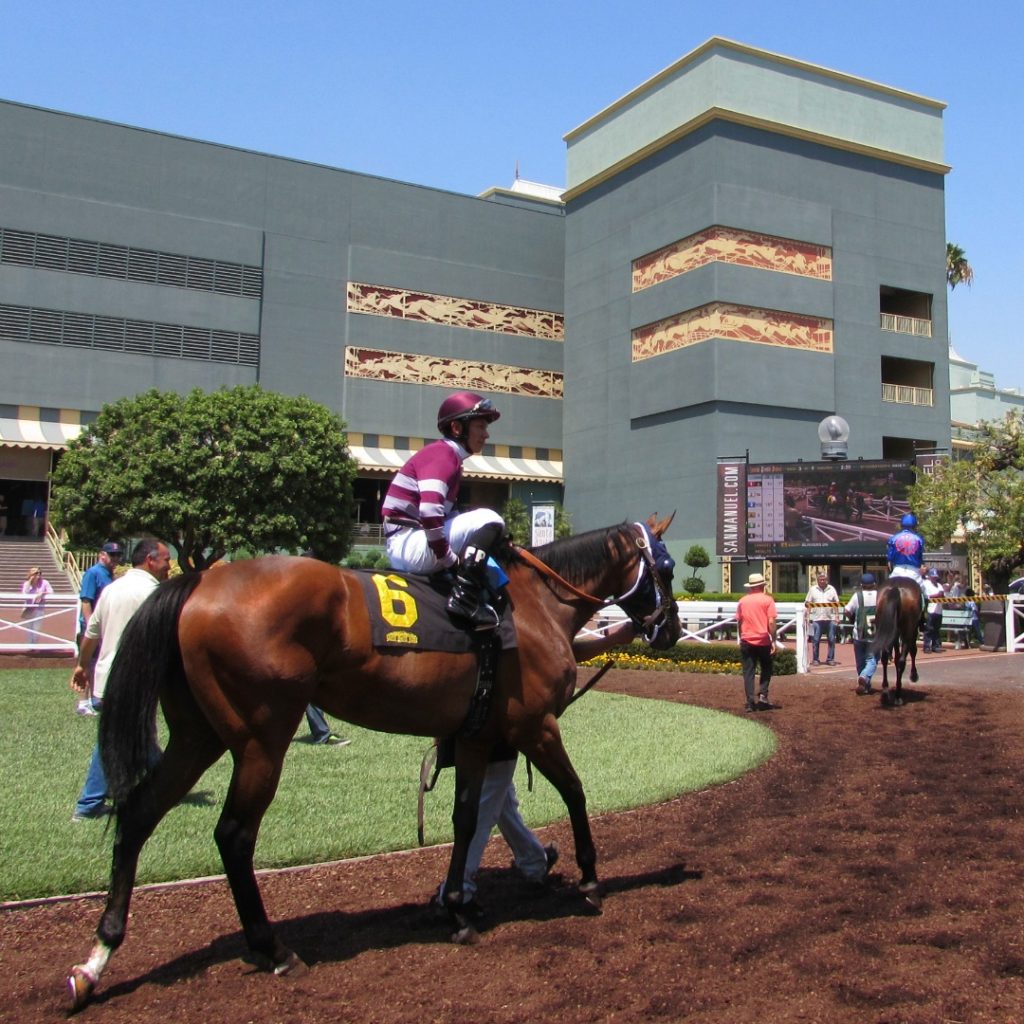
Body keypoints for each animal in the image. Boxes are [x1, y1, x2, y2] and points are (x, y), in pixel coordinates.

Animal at [70, 516, 679, 1011]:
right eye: (667, 568)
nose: (670, 629)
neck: (535, 607)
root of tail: (199, 581)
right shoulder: (536, 725)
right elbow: (575, 791)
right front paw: (590, 878)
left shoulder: (479, 734)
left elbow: (466, 819)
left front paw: (457, 908)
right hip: (260, 737)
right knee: (234, 834)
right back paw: (274, 948)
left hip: (198, 734)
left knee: (139, 814)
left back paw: (98, 956)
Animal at [868, 573, 925, 708]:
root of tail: (896, 588)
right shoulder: (912, 630)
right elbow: (913, 651)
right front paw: (914, 675)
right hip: (908, 629)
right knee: (902, 660)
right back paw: (898, 696)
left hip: (884, 626)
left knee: (884, 657)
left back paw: (885, 692)